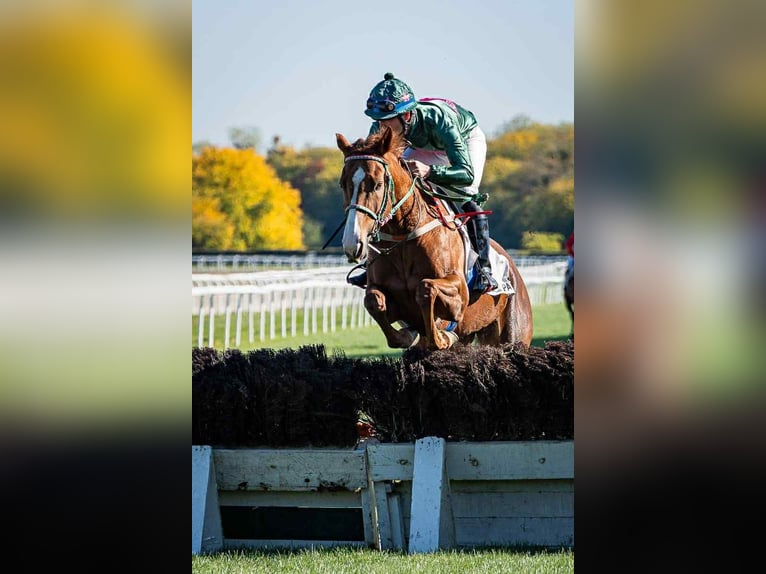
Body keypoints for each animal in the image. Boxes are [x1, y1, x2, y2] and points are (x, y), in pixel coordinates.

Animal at [336, 127, 533, 351]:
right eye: (343, 184)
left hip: (513, 332)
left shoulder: (460, 295)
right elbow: (373, 301)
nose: (353, 243)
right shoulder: (384, 294)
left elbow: (426, 289)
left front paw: (442, 337)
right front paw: (407, 335)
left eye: (377, 185)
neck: (403, 235)